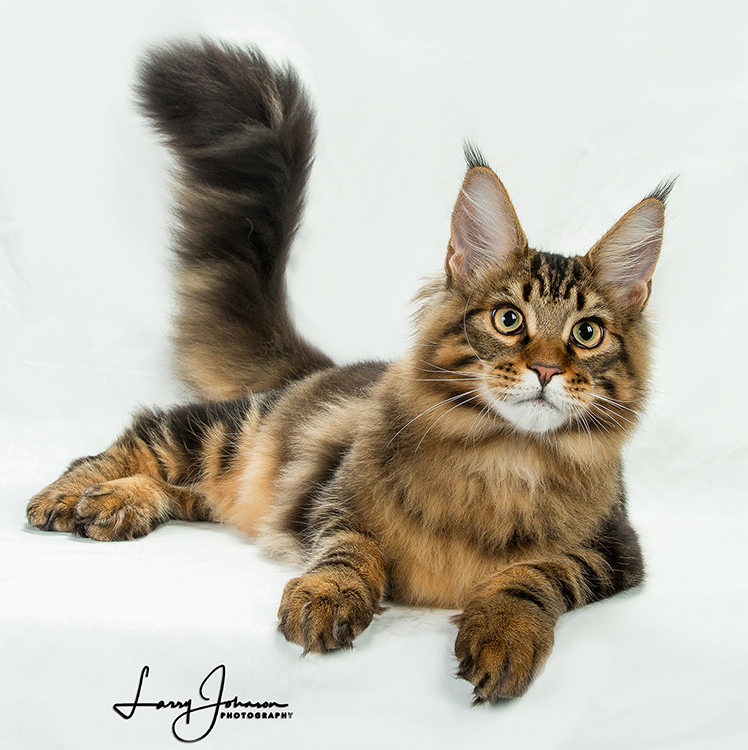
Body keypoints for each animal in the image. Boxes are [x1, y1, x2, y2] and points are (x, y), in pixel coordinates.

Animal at [26, 39, 671, 704]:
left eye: (587, 334)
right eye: (508, 319)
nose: (544, 369)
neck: (504, 458)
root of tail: (321, 369)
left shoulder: (614, 550)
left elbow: (534, 575)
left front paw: (503, 634)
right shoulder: (337, 498)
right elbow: (350, 551)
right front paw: (327, 597)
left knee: (189, 492)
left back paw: (115, 506)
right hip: (227, 432)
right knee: (139, 438)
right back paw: (72, 497)